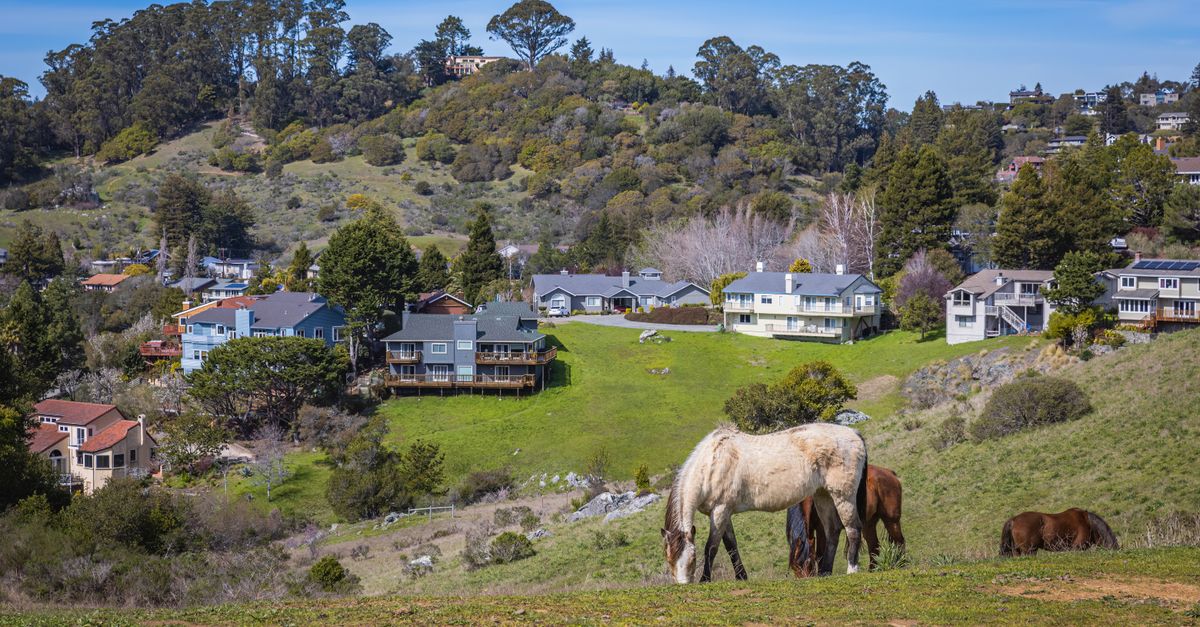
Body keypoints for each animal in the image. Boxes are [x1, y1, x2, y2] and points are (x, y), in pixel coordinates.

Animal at [661, 423, 868, 584]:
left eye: (693, 559)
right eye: (669, 559)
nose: (683, 584)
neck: (712, 464)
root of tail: (854, 434)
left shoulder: (720, 510)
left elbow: (711, 547)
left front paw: (705, 580)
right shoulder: (724, 513)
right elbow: (731, 546)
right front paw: (741, 577)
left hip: (843, 496)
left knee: (853, 529)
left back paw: (852, 570)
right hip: (823, 495)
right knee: (833, 531)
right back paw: (825, 572)